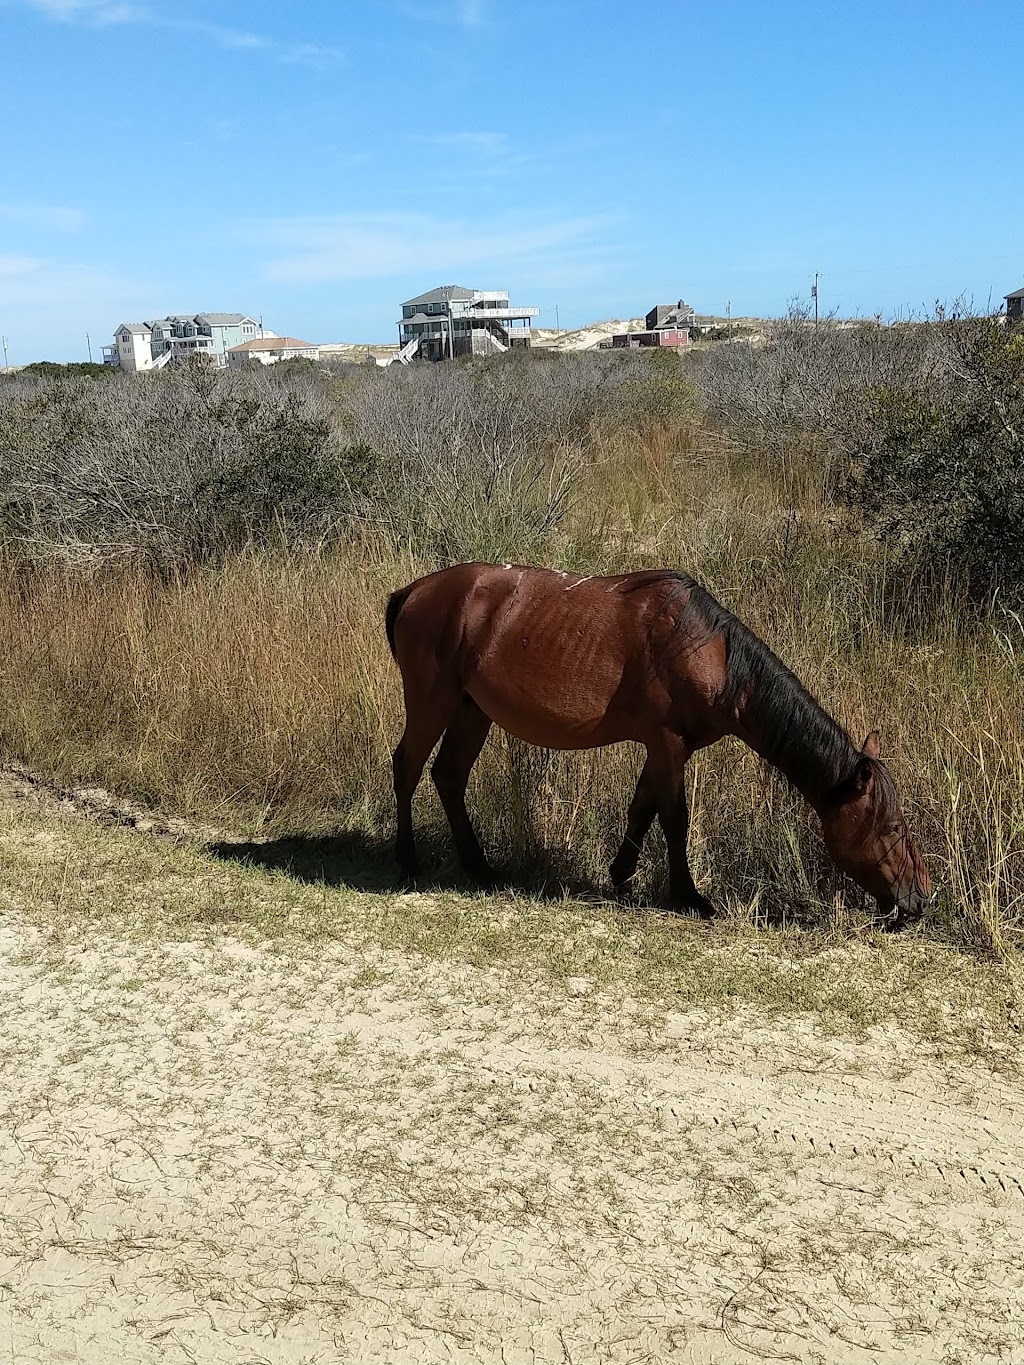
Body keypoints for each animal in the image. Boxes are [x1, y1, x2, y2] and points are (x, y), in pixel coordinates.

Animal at [387, 562, 939, 928]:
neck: (712, 653)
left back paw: (478, 866)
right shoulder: (668, 743)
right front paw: (687, 896)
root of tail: (413, 591)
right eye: (892, 826)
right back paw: (408, 862)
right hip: (432, 703)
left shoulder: (668, 748)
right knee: (407, 769)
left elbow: (643, 807)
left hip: (470, 712)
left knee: (449, 777)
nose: (921, 897)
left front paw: (621, 873)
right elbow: (675, 818)